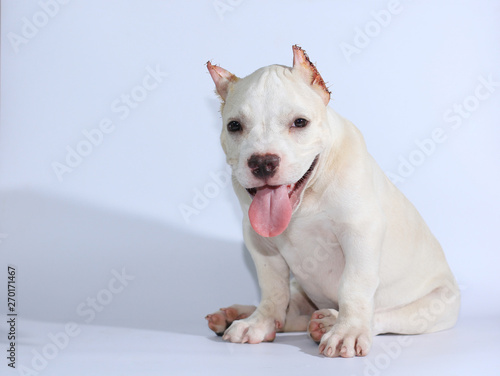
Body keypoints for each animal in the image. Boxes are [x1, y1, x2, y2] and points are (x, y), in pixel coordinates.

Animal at [205, 45, 458, 356]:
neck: (306, 200)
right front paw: (259, 322)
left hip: (436, 306)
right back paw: (236, 315)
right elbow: (273, 288)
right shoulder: (259, 242)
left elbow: (354, 285)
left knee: (383, 315)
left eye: (300, 122)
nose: (263, 162)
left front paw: (347, 331)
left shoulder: (361, 231)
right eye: (234, 126)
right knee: (293, 310)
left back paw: (329, 322)